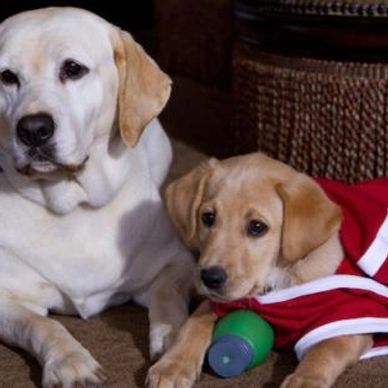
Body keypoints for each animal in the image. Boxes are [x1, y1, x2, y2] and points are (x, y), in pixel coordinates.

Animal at [0, 6, 193, 388]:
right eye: (7, 77)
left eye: (73, 69)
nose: (33, 129)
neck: (73, 203)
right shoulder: (5, 297)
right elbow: (42, 324)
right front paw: (69, 361)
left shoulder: (178, 262)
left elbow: (169, 295)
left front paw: (172, 345)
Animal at [148, 154, 388, 388]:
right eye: (207, 217)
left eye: (257, 227)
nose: (210, 278)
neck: (276, 280)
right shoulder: (221, 300)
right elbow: (194, 322)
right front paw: (172, 366)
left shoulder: (351, 317)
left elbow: (324, 351)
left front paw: (304, 381)